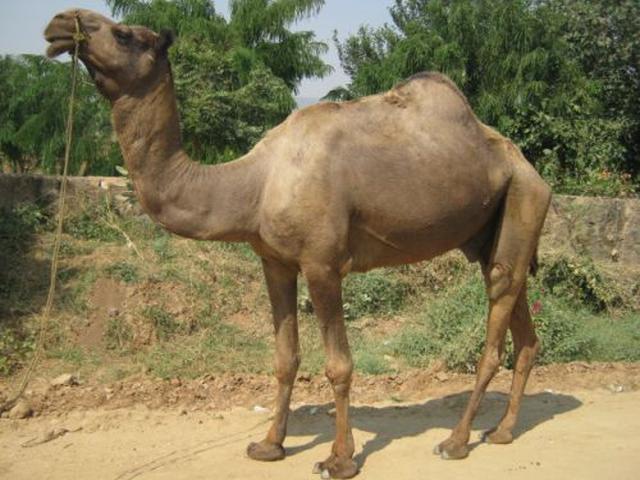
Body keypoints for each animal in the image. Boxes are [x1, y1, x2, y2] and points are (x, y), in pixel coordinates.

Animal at [45, 9, 551, 479]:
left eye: (124, 33)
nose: (61, 23)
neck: (254, 184)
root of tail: (527, 166)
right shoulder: (275, 262)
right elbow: (285, 358)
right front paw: (269, 445)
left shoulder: (322, 263)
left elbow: (338, 365)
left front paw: (339, 458)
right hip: (495, 230)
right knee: (522, 323)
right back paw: (502, 431)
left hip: (524, 197)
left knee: (496, 319)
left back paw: (457, 441)